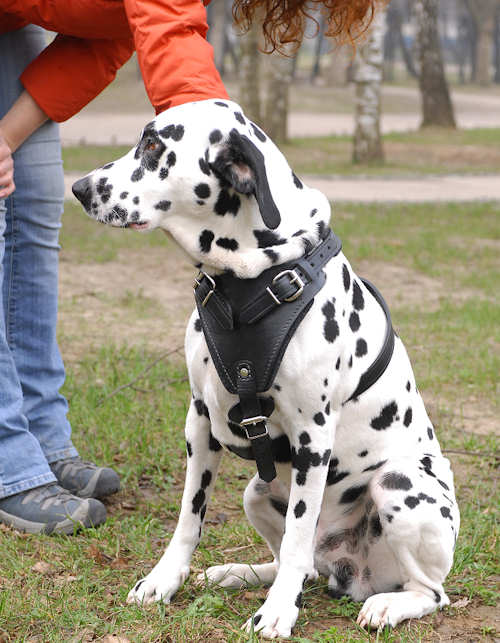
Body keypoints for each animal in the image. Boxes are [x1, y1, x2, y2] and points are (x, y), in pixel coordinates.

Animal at [72, 99, 458, 640]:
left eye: (152, 146)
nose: (79, 188)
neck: (246, 286)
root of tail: (350, 572)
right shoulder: (199, 420)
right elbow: (189, 518)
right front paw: (165, 580)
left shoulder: (312, 438)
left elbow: (297, 536)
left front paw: (278, 612)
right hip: (257, 491)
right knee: (303, 566)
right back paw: (240, 572)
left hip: (398, 484)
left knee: (427, 591)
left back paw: (387, 605)